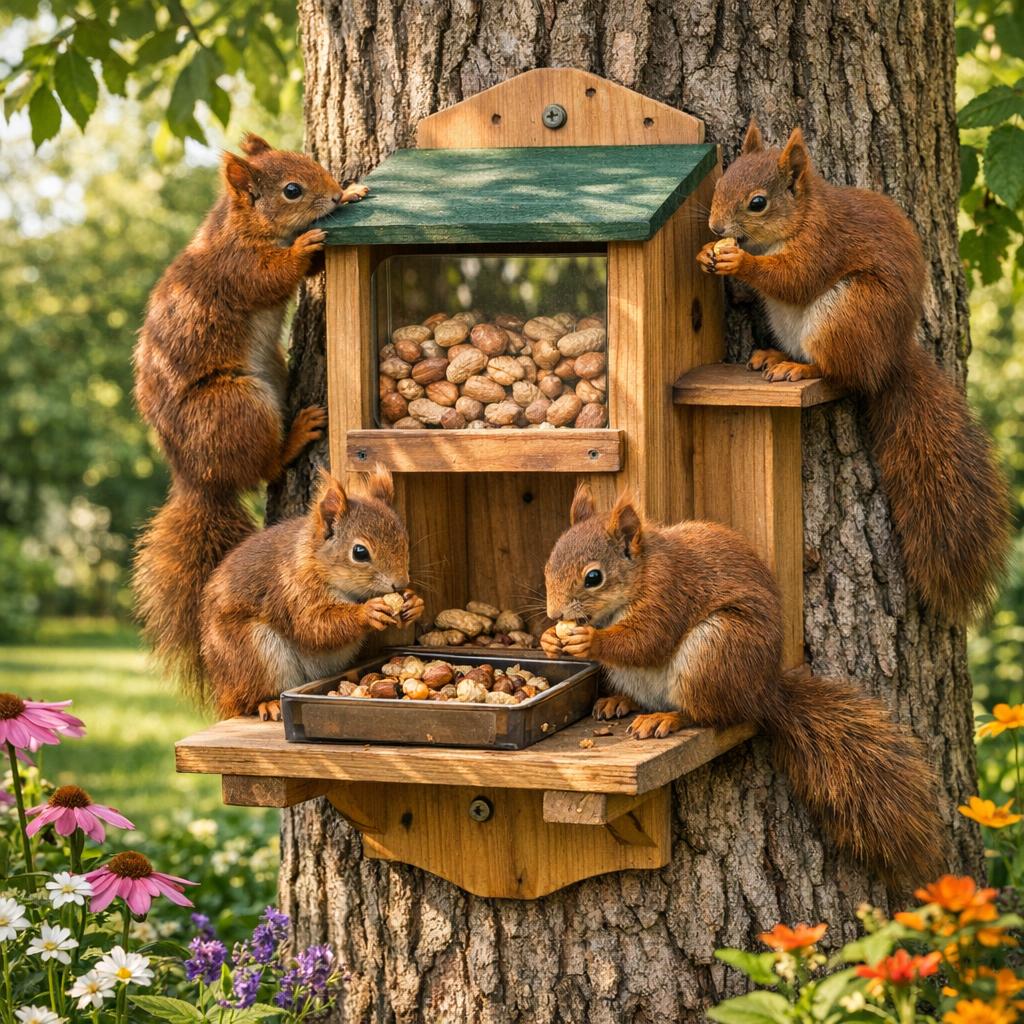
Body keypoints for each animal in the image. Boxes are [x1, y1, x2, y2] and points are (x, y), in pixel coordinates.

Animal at [133, 133, 368, 696]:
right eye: (291, 190)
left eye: (312, 164)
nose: (334, 195)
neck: (236, 226)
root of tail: (197, 478)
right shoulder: (235, 267)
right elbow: (270, 278)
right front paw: (307, 246)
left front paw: (353, 193)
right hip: (238, 404)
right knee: (264, 465)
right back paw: (297, 433)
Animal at [201, 466, 423, 720]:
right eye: (360, 552)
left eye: (405, 540)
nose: (401, 583)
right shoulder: (293, 587)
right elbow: (313, 624)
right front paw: (368, 613)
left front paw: (414, 603)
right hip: (251, 651)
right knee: (250, 696)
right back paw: (267, 702)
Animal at [541, 485, 946, 883]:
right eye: (548, 564)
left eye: (594, 577)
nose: (554, 614)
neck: (638, 576)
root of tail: (763, 693)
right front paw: (548, 639)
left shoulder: (668, 591)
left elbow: (646, 641)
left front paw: (589, 641)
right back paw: (621, 701)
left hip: (714, 651)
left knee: (707, 715)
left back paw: (667, 719)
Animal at [696, 120, 1009, 624]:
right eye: (721, 183)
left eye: (758, 202)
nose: (716, 228)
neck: (801, 218)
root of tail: (890, 357)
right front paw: (709, 253)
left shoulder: (823, 244)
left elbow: (792, 278)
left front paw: (738, 261)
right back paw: (771, 356)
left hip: (847, 314)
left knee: (840, 373)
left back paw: (797, 367)